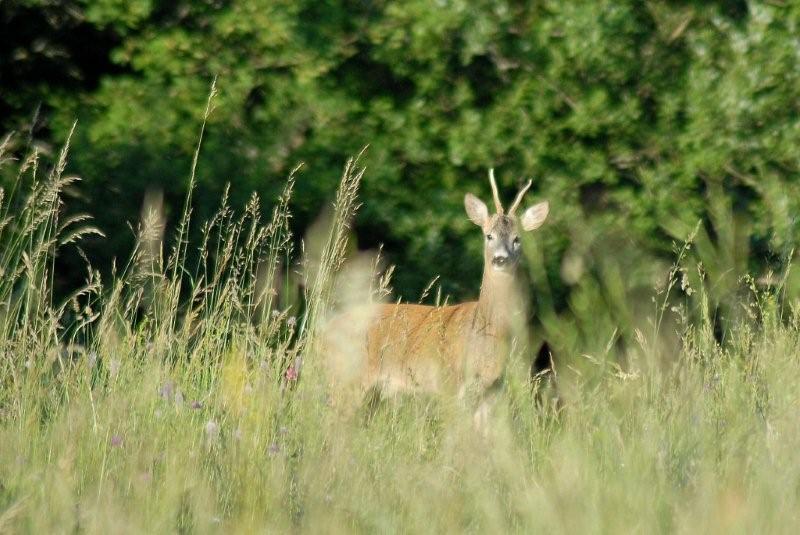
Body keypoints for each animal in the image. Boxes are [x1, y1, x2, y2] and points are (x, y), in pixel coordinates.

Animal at [322, 172, 548, 432]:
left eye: (517, 239)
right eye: (488, 235)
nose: (500, 258)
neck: (489, 331)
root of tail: (322, 334)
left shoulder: (491, 391)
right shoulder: (449, 383)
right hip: (346, 380)